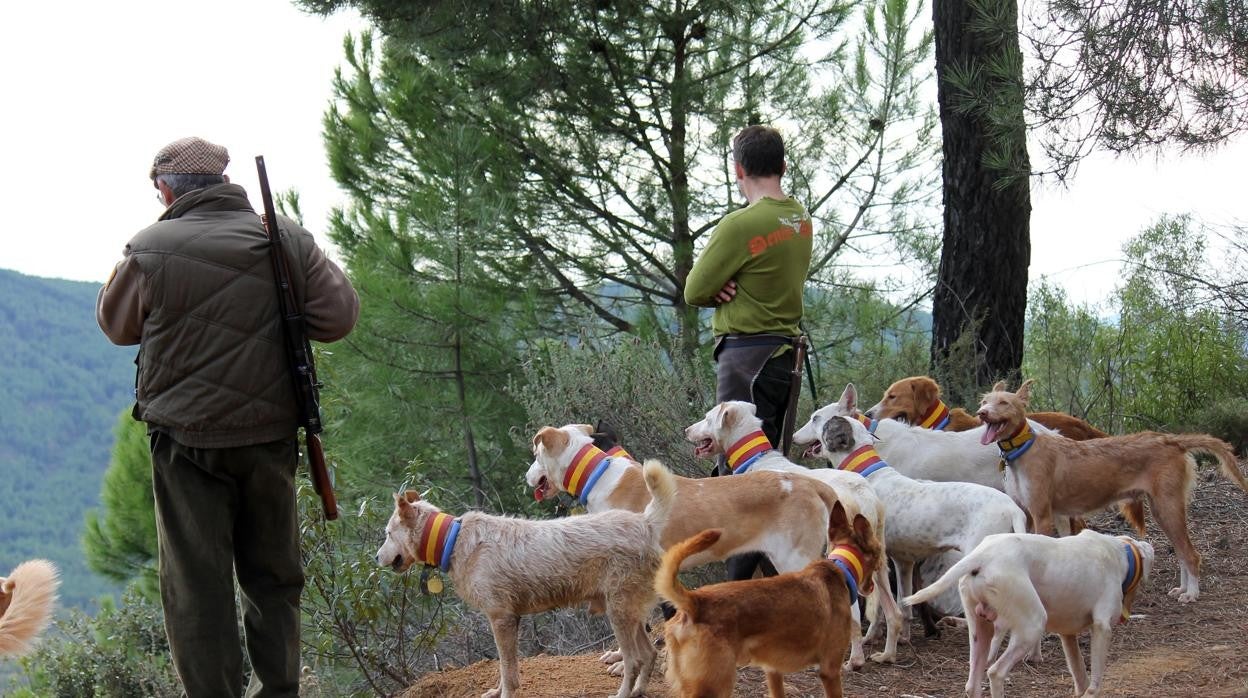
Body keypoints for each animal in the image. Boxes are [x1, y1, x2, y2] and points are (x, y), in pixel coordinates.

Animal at [374, 476, 678, 698]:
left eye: (388, 534)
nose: (376, 557)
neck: (454, 540)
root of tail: (645, 522)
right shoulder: (508, 620)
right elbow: (504, 667)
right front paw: (496, 691)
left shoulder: (501, 620)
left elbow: (508, 672)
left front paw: (505, 694)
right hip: (629, 614)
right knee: (649, 653)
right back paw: (638, 691)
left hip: (619, 614)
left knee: (633, 660)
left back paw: (624, 693)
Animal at [653, 499, 878, 698]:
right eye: (878, 555)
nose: (870, 587)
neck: (838, 568)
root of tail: (695, 601)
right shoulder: (830, 670)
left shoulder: (772, 670)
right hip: (714, 686)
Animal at [688, 402, 903, 669]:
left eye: (707, 418)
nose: (687, 430)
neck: (759, 459)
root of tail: (862, 497)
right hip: (879, 562)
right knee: (894, 613)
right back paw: (887, 654)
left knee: (853, 613)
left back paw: (853, 660)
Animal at [903, 529, 1153, 698]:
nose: (1125, 615)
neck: (1120, 553)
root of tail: (982, 556)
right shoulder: (1102, 629)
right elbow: (1094, 683)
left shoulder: (1067, 636)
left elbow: (1080, 675)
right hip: (1032, 626)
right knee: (995, 672)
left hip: (980, 631)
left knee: (973, 683)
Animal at [978, 379, 1243, 604]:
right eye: (984, 401)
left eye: (1004, 403)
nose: (981, 413)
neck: (1024, 450)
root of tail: (1172, 440)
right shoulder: (1034, 514)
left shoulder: (1042, 515)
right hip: (1163, 510)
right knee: (1181, 552)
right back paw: (1183, 589)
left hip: (1168, 508)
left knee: (1191, 554)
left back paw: (1192, 594)